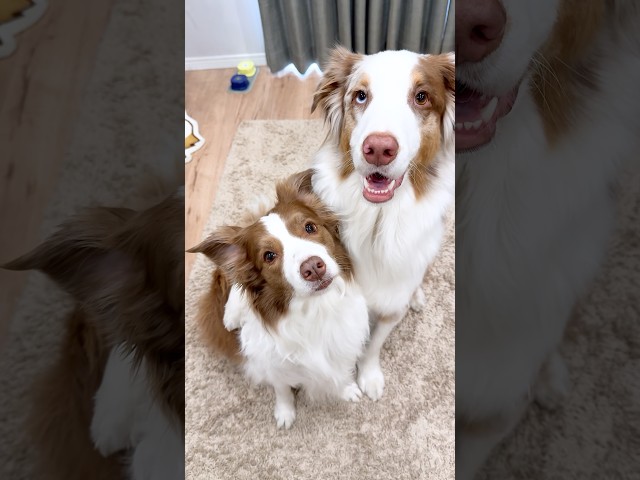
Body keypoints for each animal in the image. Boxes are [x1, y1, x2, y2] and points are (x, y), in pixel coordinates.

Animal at [189, 177, 370, 429]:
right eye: (269, 256)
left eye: (310, 227)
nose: (313, 267)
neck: (314, 309)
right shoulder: (274, 364)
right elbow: (282, 389)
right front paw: (285, 412)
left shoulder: (344, 344)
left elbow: (341, 370)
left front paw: (347, 388)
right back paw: (231, 315)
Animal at [308, 46, 455, 401]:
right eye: (361, 95)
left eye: (421, 97)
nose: (378, 149)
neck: (379, 220)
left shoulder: (391, 305)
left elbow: (374, 344)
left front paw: (369, 376)